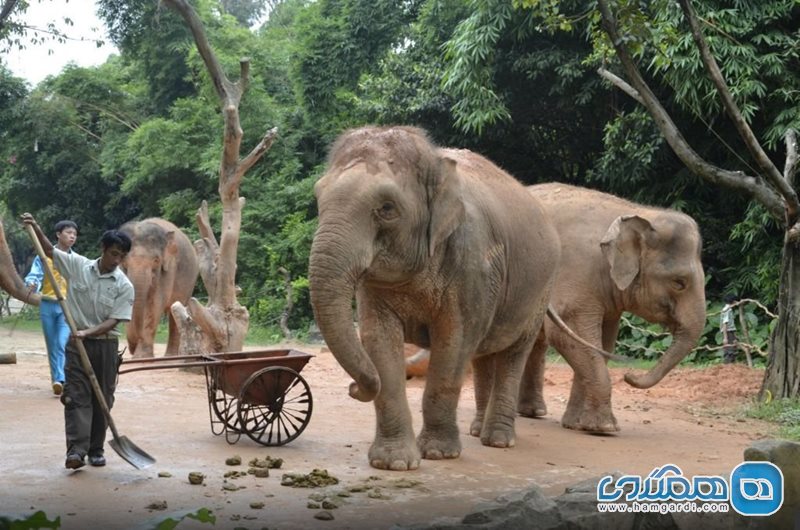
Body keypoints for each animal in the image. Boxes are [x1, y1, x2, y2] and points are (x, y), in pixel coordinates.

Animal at [120, 217, 200, 356]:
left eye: (156, 261)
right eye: (124, 260)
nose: (131, 348)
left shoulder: (169, 268)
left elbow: (155, 303)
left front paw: (141, 357)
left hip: (190, 280)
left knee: (175, 312)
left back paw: (171, 356)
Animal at [310, 125, 560, 470]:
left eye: (387, 208)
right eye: (318, 198)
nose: (352, 388)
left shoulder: (472, 263)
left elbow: (454, 341)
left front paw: (438, 454)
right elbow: (378, 339)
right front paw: (394, 463)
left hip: (540, 289)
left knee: (513, 352)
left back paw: (497, 440)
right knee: (484, 354)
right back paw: (476, 430)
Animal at [520, 182, 708, 428]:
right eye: (679, 283)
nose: (628, 375)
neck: (636, 212)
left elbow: (603, 342)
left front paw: (578, 425)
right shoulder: (575, 272)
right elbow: (569, 335)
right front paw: (605, 428)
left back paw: (533, 412)